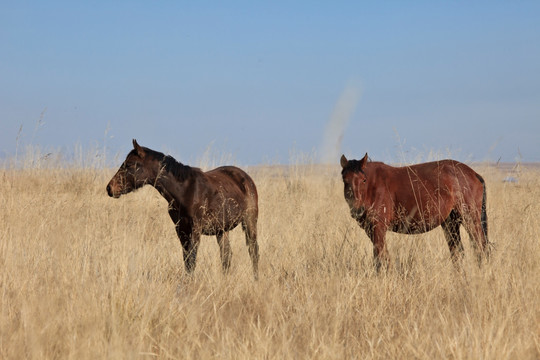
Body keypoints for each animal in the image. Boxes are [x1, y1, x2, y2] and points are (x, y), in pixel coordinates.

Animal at [106, 139, 258, 278]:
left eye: (130, 164)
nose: (110, 188)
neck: (185, 190)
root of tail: (246, 177)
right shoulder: (181, 229)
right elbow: (187, 260)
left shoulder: (195, 229)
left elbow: (192, 260)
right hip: (222, 230)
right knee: (226, 257)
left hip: (249, 222)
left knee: (253, 252)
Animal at [342, 153, 490, 268]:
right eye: (345, 180)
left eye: (363, 180)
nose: (357, 210)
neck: (372, 187)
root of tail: (473, 173)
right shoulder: (370, 229)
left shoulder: (378, 228)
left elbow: (380, 259)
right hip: (450, 223)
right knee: (458, 252)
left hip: (470, 219)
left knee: (480, 247)